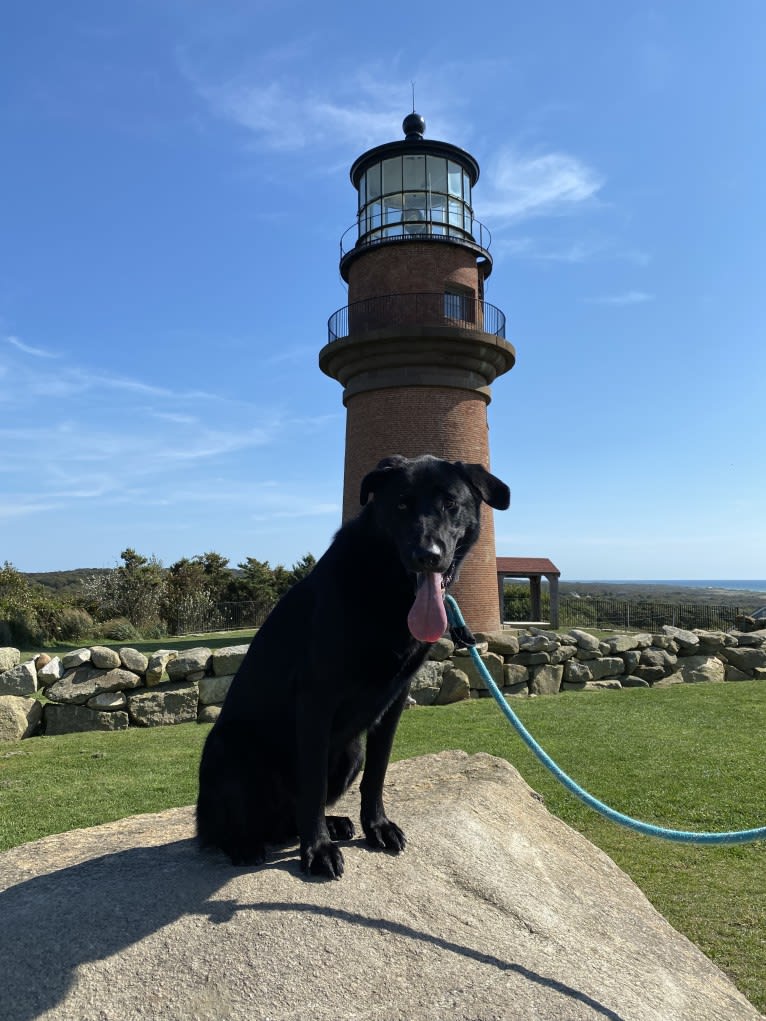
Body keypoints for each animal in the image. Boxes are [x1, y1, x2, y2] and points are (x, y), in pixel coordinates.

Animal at [196, 455, 510, 878]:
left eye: (450, 503)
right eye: (402, 505)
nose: (427, 555)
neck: (388, 588)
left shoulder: (395, 701)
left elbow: (377, 774)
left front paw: (376, 827)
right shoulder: (316, 699)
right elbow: (311, 784)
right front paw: (317, 850)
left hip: (350, 751)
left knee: (287, 819)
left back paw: (331, 824)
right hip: (229, 748)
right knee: (226, 828)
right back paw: (247, 845)